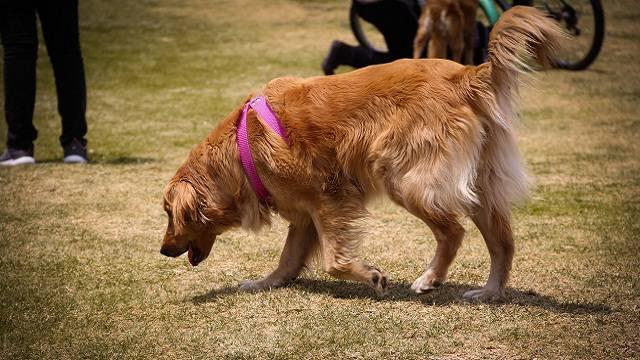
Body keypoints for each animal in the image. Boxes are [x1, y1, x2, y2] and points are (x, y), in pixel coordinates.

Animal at [161, 7, 564, 300]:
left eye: (169, 214)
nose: (163, 250)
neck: (241, 148)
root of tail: (466, 74)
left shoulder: (329, 198)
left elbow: (334, 261)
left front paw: (371, 276)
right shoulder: (304, 214)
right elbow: (288, 258)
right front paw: (264, 283)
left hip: (401, 175)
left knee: (453, 231)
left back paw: (429, 279)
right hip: (479, 181)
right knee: (503, 242)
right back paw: (489, 292)